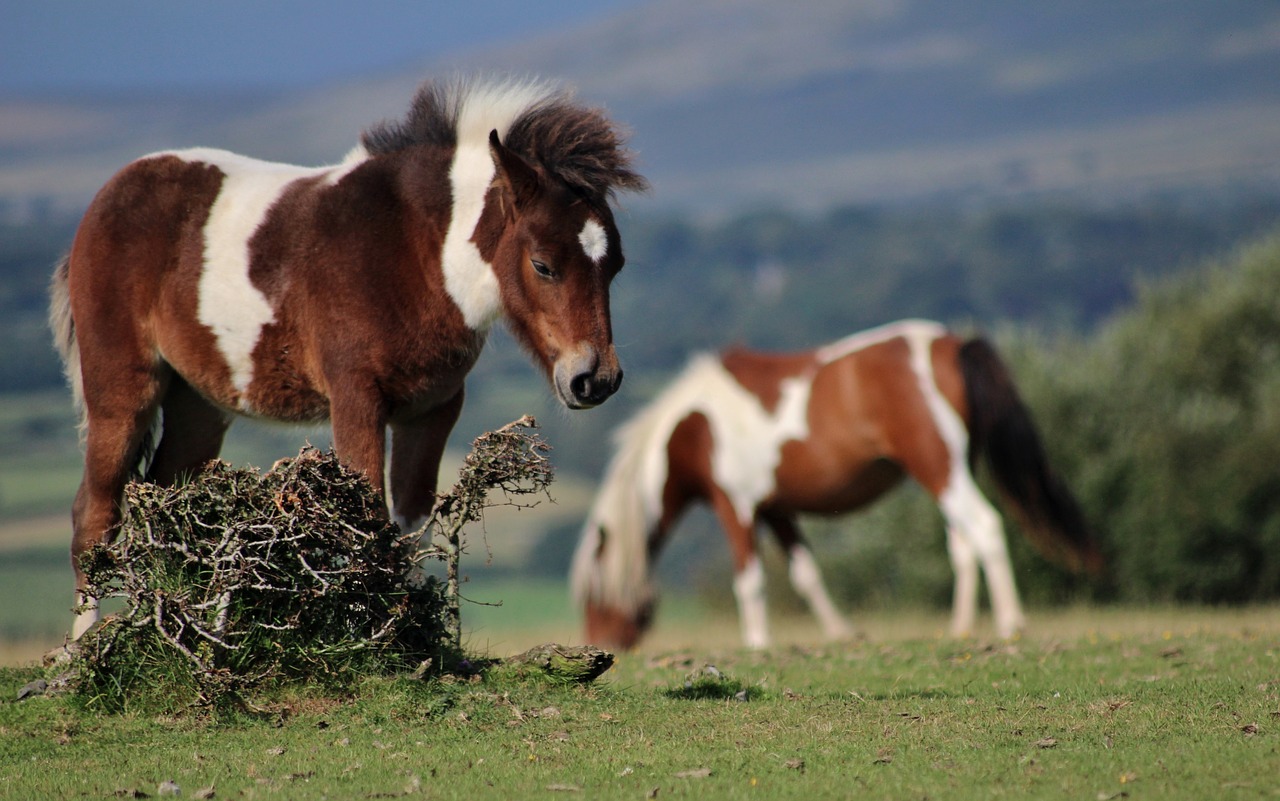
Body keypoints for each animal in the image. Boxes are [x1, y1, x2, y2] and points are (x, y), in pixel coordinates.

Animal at [49, 74, 650, 637]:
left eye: (617, 265)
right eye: (543, 265)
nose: (595, 379)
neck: (414, 253)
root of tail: (104, 199)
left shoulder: (432, 409)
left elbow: (408, 526)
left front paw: (419, 638)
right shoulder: (357, 399)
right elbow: (366, 521)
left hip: (200, 404)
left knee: (170, 504)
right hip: (122, 391)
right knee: (95, 515)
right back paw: (83, 650)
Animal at [573, 318, 1100, 650]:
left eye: (591, 595)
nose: (601, 644)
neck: (695, 425)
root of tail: (952, 345)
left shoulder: (735, 505)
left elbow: (750, 580)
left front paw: (757, 643)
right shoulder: (776, 509)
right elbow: (807, 575)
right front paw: (843, 634)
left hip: (939, 468)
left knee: (985, 527)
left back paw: (1011, 623)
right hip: (951, 469)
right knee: (962, 544)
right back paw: (960, 630)